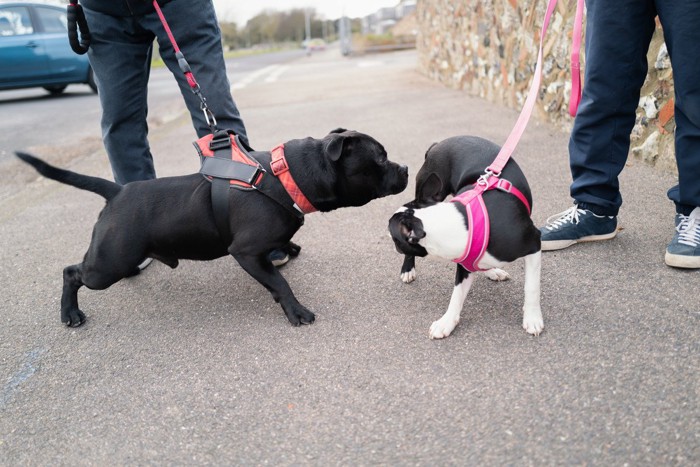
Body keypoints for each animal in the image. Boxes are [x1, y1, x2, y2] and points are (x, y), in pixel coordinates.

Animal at [20, 126, 410, 328]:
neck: (286, 178)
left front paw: (287, 249)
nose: (406, 167)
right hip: (107, 265)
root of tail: (117, 191)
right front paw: (295, 310)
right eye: (379, 158)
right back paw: (69, 313)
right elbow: (279, 283)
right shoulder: (246, 252)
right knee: (72, 272)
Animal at [388, 136, 540, 340]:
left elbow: (531, 287)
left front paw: (533, 318)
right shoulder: (464, 262)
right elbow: (457, 295)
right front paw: (446, 322)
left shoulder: (534, 243)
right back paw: (408, 269)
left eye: (394, 237)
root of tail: (438, 144)